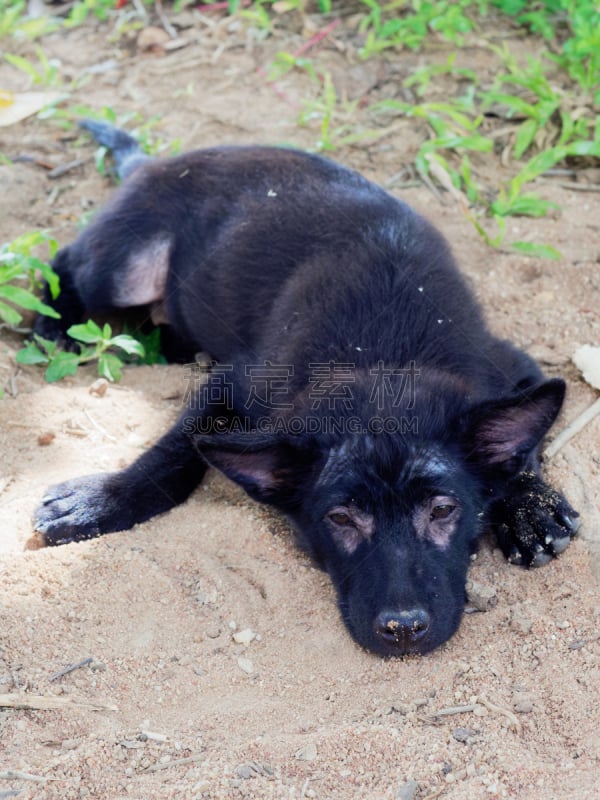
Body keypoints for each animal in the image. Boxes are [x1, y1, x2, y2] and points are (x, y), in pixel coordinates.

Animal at [34, 120, 576, 656]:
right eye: (340, 519)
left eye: (443, 510)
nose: (403, 629)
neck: (385, 359)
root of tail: (155, 163)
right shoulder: (237, 382)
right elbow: (175, 451)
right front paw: (103, 499)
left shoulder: (515, 367)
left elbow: (522, 441)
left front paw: (530, 507)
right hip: (124, 270)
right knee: (65, 263)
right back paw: (54, 325)